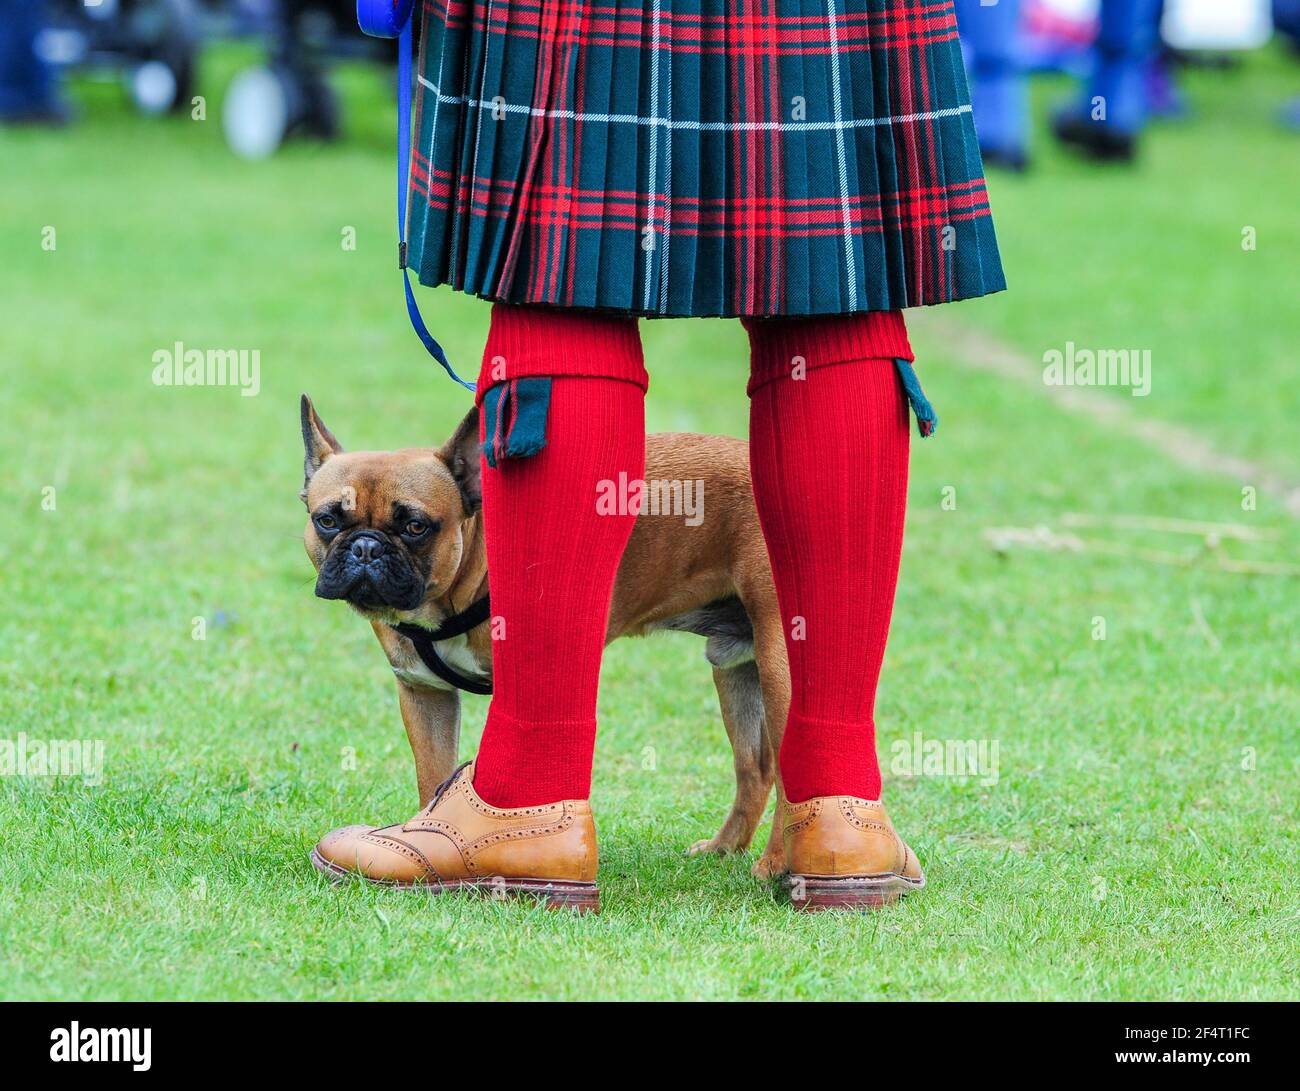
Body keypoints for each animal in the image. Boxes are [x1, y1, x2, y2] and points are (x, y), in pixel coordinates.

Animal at [301, 397, 790, 873]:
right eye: (327, 520)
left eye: (416, 526)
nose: (366, 546)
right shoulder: (424, 695)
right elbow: (433, 774)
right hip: (735, 668)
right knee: (755, 767)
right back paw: (725, 848)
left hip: (778, 664)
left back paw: (775, 864)